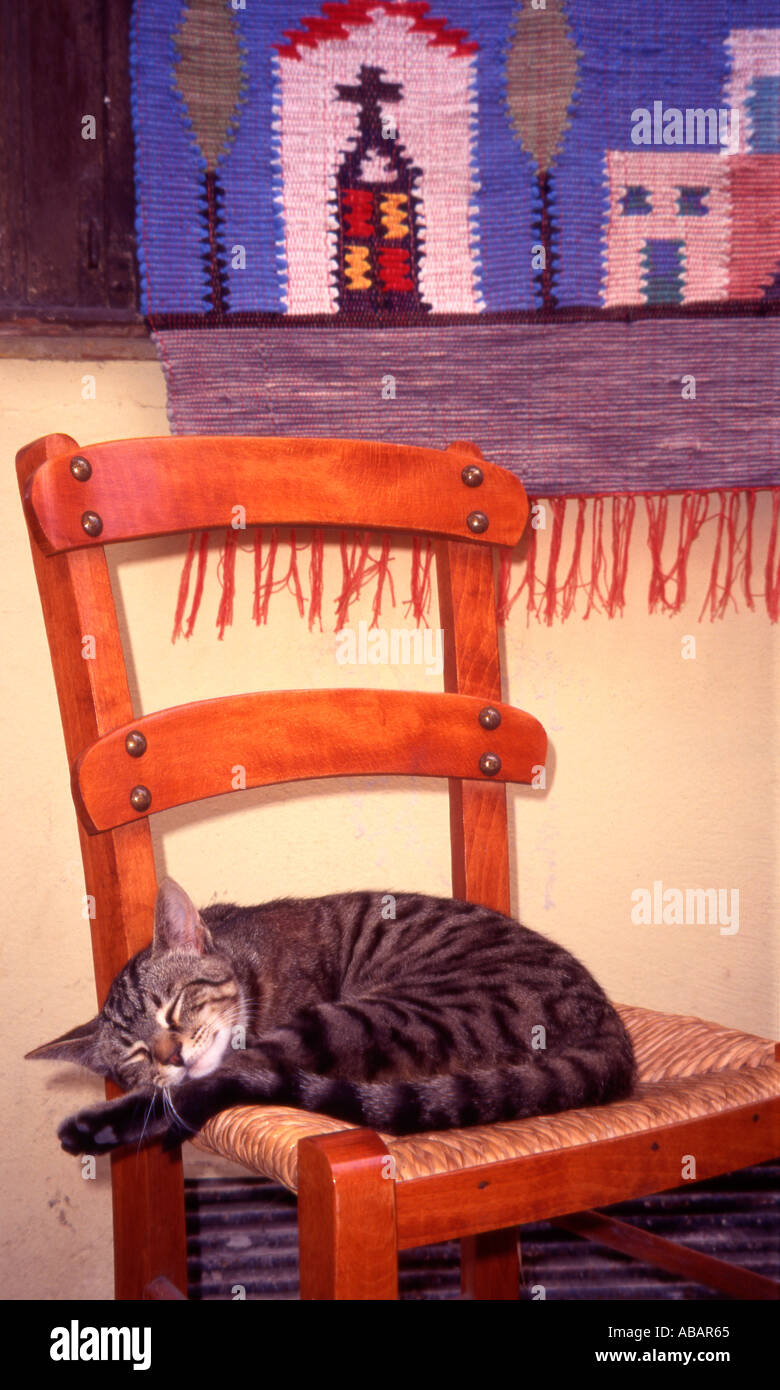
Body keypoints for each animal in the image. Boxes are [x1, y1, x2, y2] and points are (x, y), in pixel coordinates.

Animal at [27, 878, 634, 1150]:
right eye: (133, 1053)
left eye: (174, 1006)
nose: (171, 1057)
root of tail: (609, 1027)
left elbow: (191, 1090)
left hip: (361, 1018)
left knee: (224, 1084)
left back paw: (97, 1127)